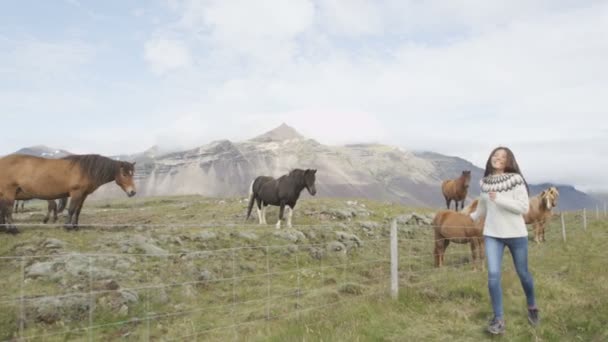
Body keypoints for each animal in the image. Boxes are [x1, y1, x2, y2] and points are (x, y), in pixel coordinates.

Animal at [0, 154, 137, 232]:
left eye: (132, 174)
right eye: (124, 174)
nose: (133, 192)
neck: (85, 170)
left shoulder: (83, 195)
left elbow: (77, 210)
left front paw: (76, 226)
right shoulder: (76, 193)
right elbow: (71, 210)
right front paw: (67, 226)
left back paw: (4, 228)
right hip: (9, 192)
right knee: (8, 210)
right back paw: (13, 229)